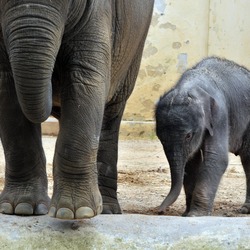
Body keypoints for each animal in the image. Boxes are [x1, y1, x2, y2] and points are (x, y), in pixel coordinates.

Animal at [0, 0, 154, 219]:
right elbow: (7, 87)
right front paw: (20, 209)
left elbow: (85, 79)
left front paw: (74, 212)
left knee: (110, 116)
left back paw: (107, 210)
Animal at [155, 56, 250, 215]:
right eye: (160, 138)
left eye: (188, 136)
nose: (158, 210)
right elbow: (191, 162)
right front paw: (186, 214)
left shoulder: (219, 114)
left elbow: (216, 158)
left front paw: (195, 214)